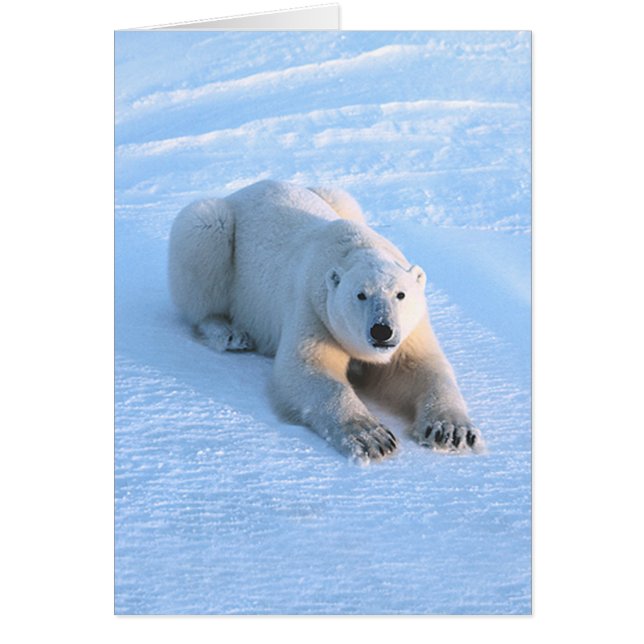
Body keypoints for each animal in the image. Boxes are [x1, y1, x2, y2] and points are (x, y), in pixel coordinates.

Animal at [168, 180, 482, 462]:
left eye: (401, 294)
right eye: (360, 295)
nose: (382, 330)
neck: (354, 247)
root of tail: (241, 191)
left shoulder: (412, 329)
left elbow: (421, 367)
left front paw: (451, 431)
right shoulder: (313, 308)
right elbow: (308, 369)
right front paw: (373, 437)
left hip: (337, 197)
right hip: (215, 230)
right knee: (204, 240)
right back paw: (229, 333)